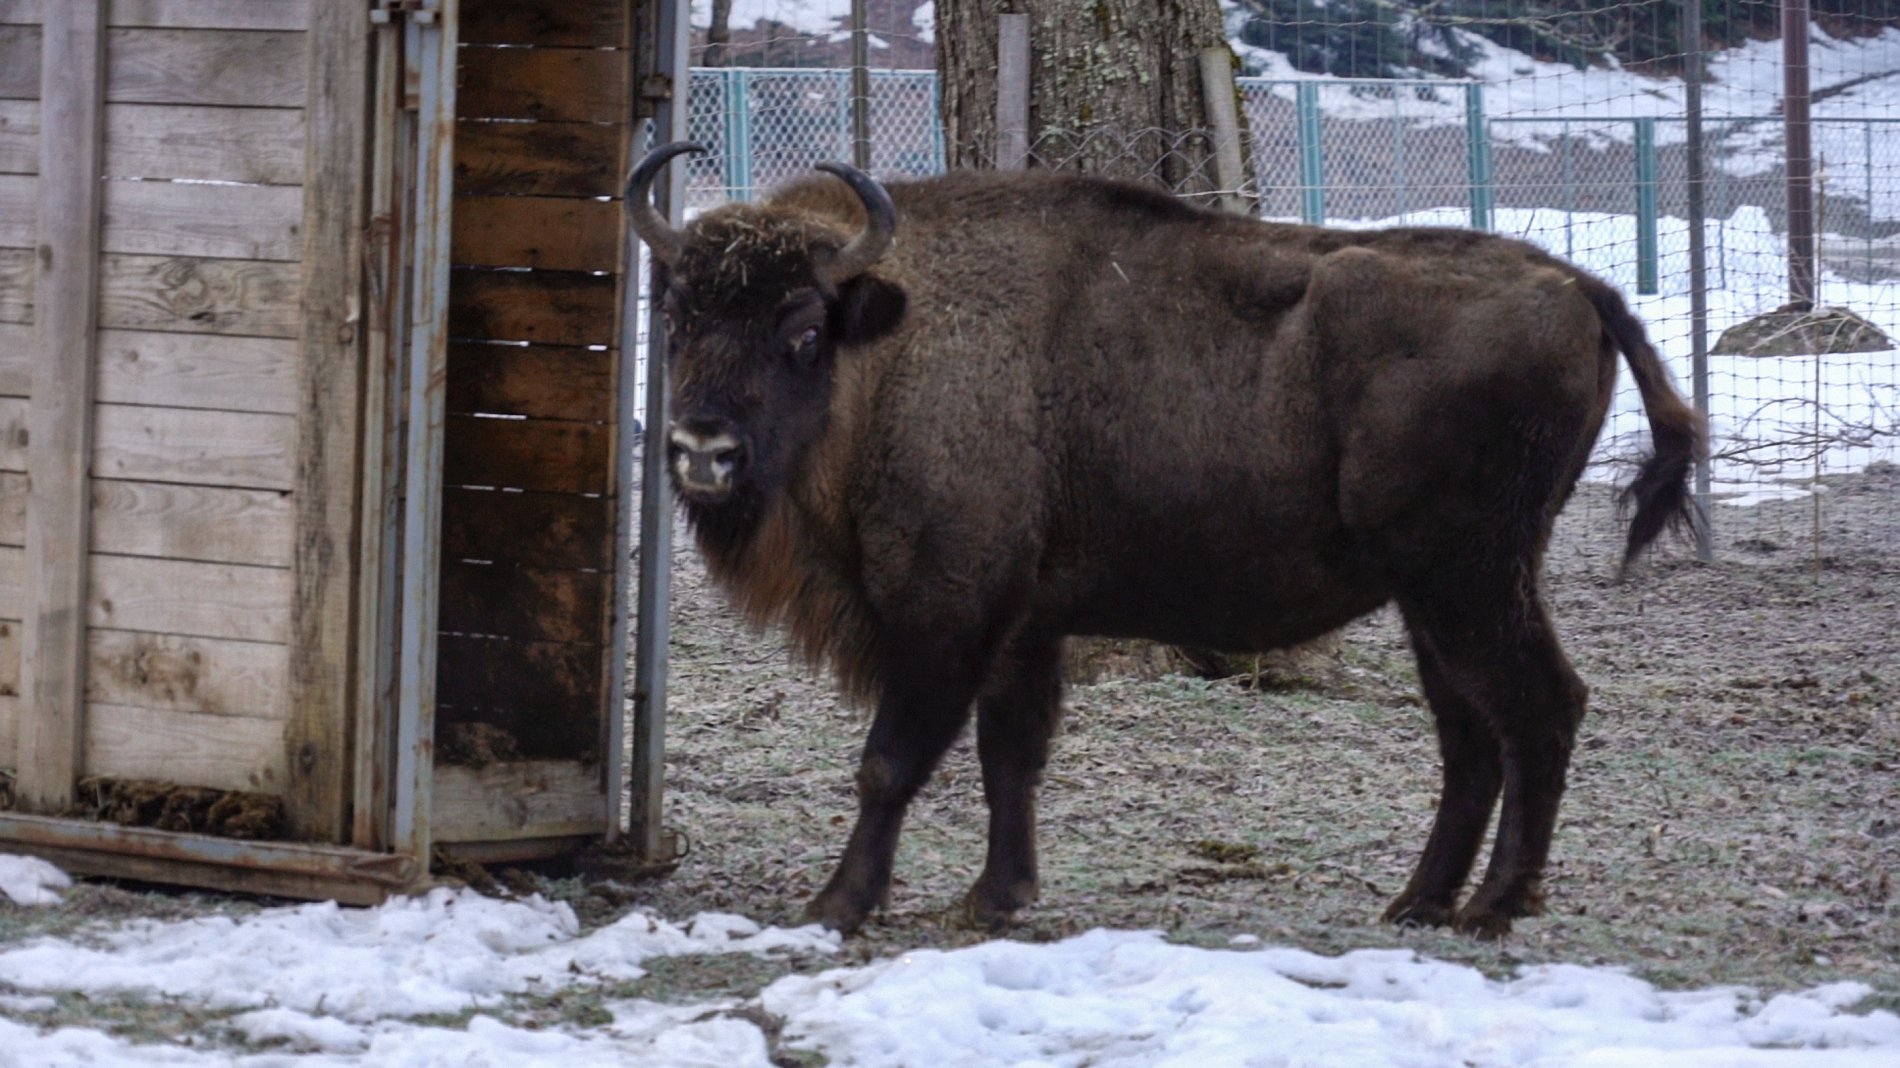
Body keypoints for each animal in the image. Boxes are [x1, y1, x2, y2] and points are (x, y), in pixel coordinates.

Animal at [627, 139, 1710, 931]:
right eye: (675, 319)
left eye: (803, 330)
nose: (701, 448)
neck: (893, 341)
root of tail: (1577, 287)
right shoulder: (1024, 625)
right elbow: (1010, 756)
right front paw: (994, 898)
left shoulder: (946, 612)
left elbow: (890, 762)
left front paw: (836, 906)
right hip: (1434, 595)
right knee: (1469, 736)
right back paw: (1417, 903)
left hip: (1469, 576)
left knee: (1539, 708)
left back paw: (1491, 908)